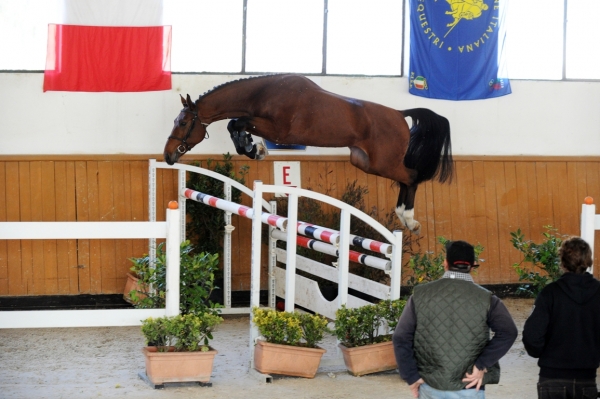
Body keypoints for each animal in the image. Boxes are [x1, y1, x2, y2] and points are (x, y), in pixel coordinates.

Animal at [162, 74, 452, 234]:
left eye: (183, 123)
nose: (168, 155)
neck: (263, 93)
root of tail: (400, 114)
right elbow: (236, 123)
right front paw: (252, 147)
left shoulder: (278, 130)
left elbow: (236, 122)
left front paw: (253, 148)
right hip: (365, 162)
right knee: (405, 178)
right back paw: (404, 216)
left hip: (384, 162)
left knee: (411, 177)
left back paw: (409, 219)